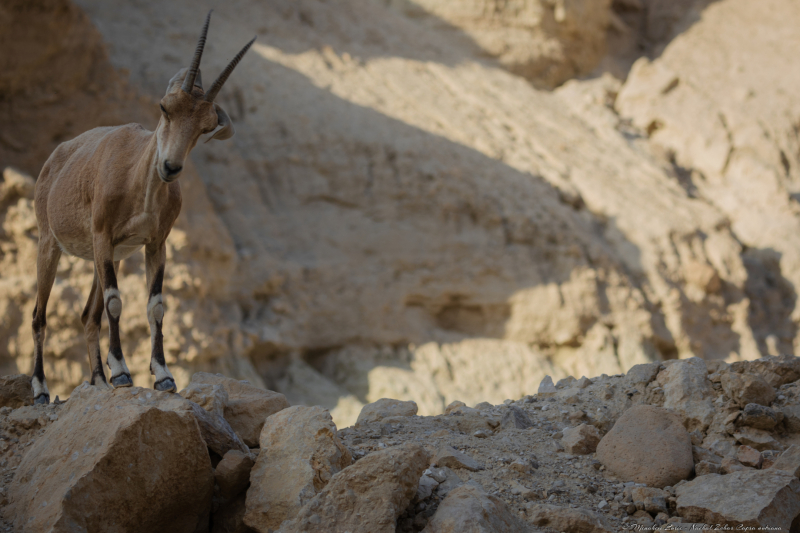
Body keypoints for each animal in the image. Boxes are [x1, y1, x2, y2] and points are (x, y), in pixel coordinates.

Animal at [30, 12, 254, 404]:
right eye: (165, 108)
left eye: (206, 127)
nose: (170, 167)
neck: (138, 183)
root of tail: (53, 160)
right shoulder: (102, 235)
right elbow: (116, 301)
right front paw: (122, 371)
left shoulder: (155, 244)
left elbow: (155, 305)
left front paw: (162, 376)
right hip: (50, 244)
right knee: (40, 315)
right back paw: (42, 389)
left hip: (109, 256)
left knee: (88, 316)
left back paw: (98, 381)